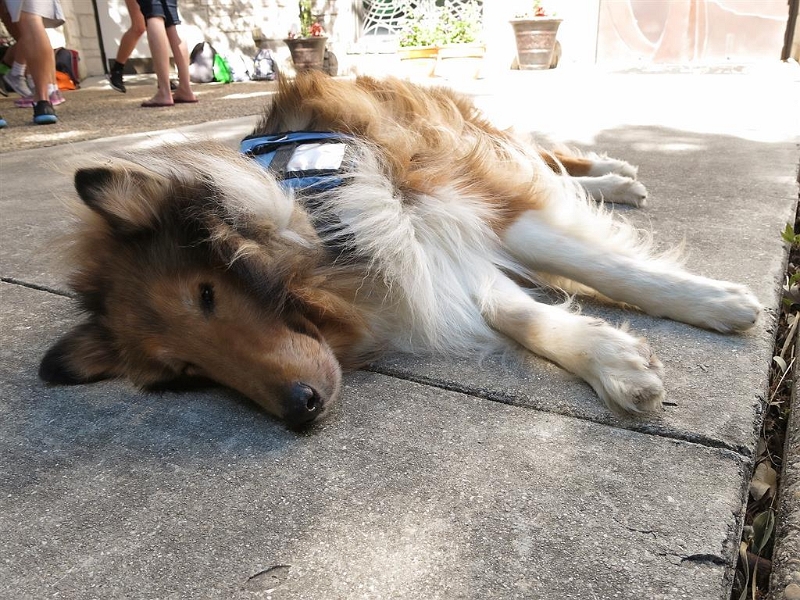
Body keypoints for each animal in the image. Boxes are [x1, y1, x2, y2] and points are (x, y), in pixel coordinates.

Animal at [39, 73, 761, 427]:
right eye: (185, 373)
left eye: (207, 293)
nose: (299, 410)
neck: (303, 213)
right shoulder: (423, 250)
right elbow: (511, 311)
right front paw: (612, 360)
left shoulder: (440, 200)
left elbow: (593, 263)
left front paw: (713, 301)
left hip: (461, 133)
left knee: (546, 156)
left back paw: (613, 176)